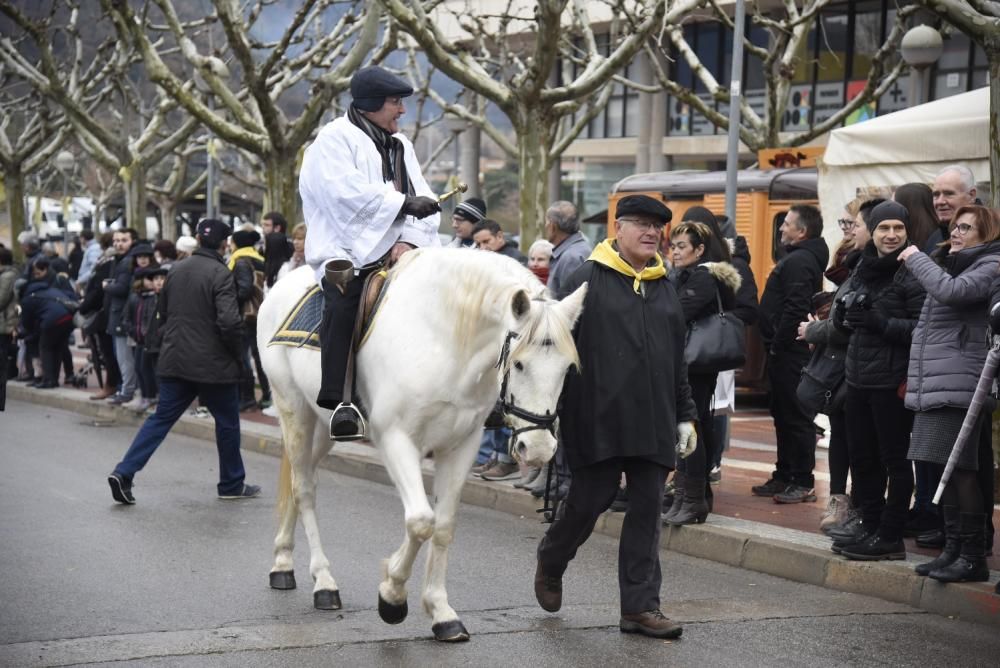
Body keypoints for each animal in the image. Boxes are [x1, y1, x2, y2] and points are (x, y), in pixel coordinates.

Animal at [258, 249, 584, 640]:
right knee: (304, 489)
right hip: (294, 411)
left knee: (299, 480)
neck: (445, 341)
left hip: (322, 430)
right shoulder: (396, 439)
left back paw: (283, 561)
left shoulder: (461, 445)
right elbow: (420, 521)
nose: (537, 449)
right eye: (519, 363)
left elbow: (442, 526)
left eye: (567, 369)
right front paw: (392, 596)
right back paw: (322, 581)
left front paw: (441, 612)